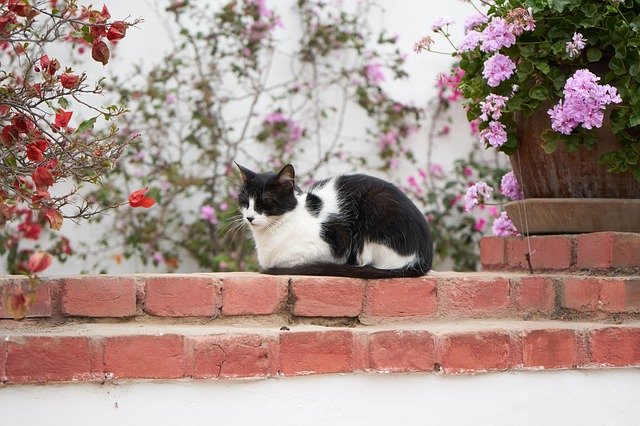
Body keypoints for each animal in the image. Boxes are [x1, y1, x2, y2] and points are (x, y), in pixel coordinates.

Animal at [236, 163, 436, 280]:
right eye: (245, 201)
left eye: (265, 202)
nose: (250, 217)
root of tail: (422, 259)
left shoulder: (336, 240)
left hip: (376, 204)